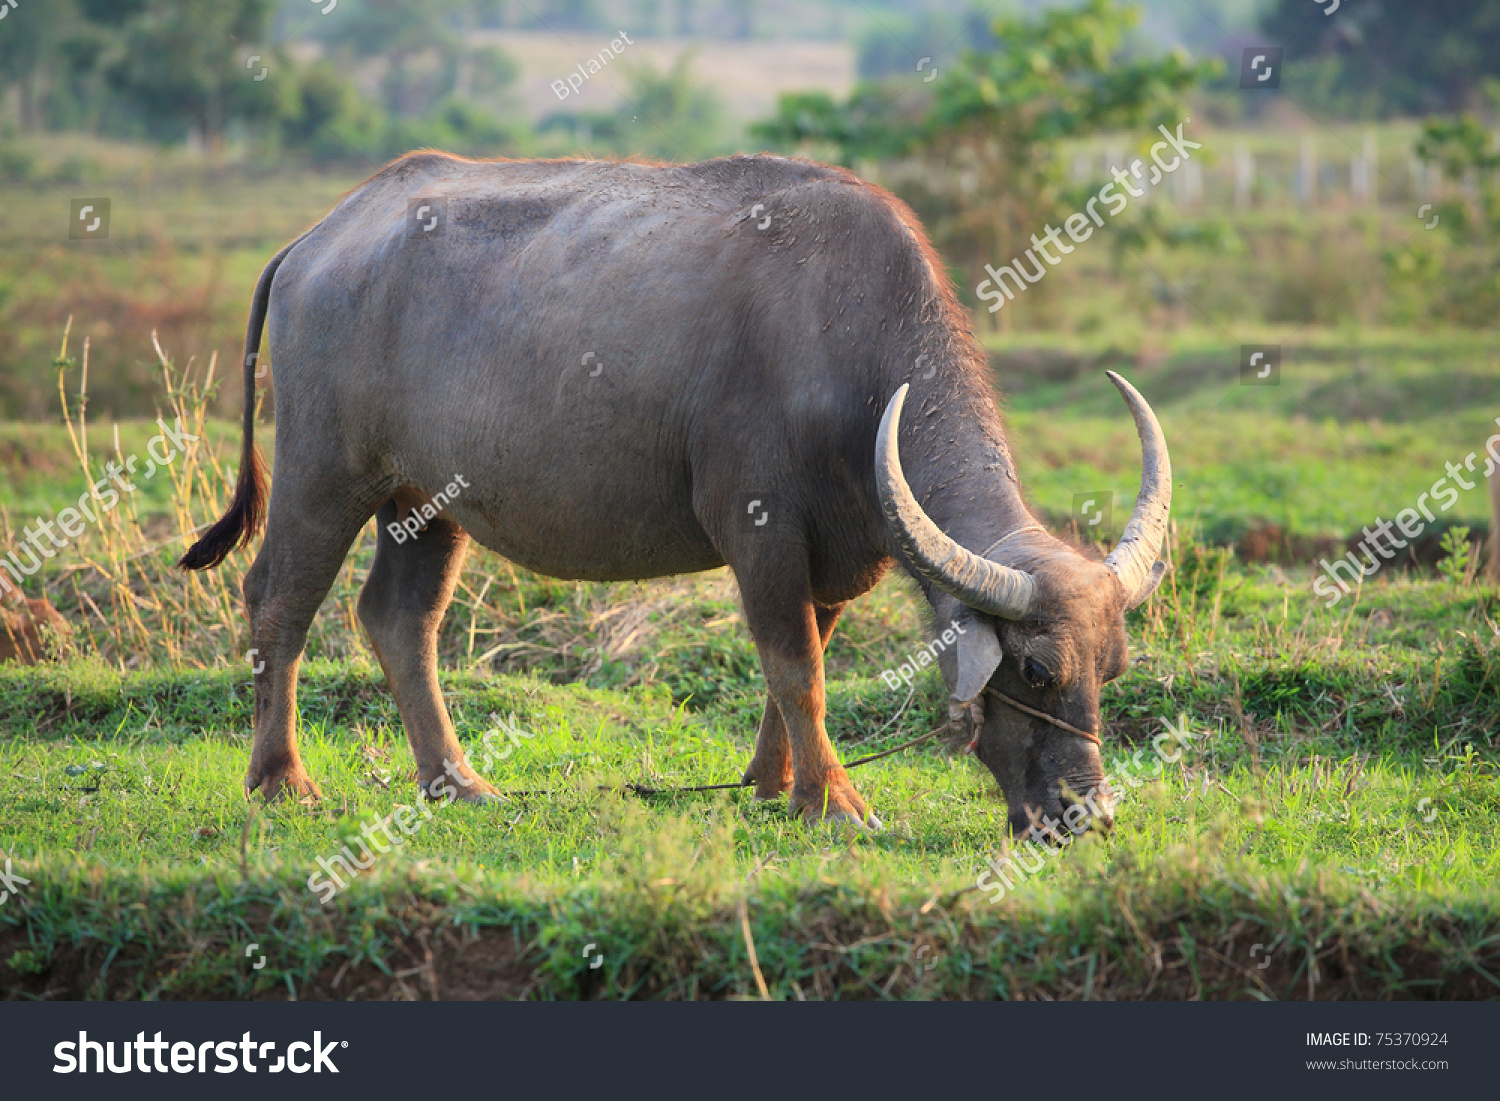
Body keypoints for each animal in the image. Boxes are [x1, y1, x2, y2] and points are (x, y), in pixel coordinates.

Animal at [181, 150, 1170, 834]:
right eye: (1037, 670)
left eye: (1112, 669)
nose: (1087, 815)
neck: (846, 351)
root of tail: (317, 239)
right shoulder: (759, 529)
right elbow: (796, 664)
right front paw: (835, 799)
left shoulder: (838, 549)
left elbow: (800, 660)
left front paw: (774, 783)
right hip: (323, 471)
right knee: (278, 600)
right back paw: (281, 779)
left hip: (426, 501)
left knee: (397, 619)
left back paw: (456, 781)